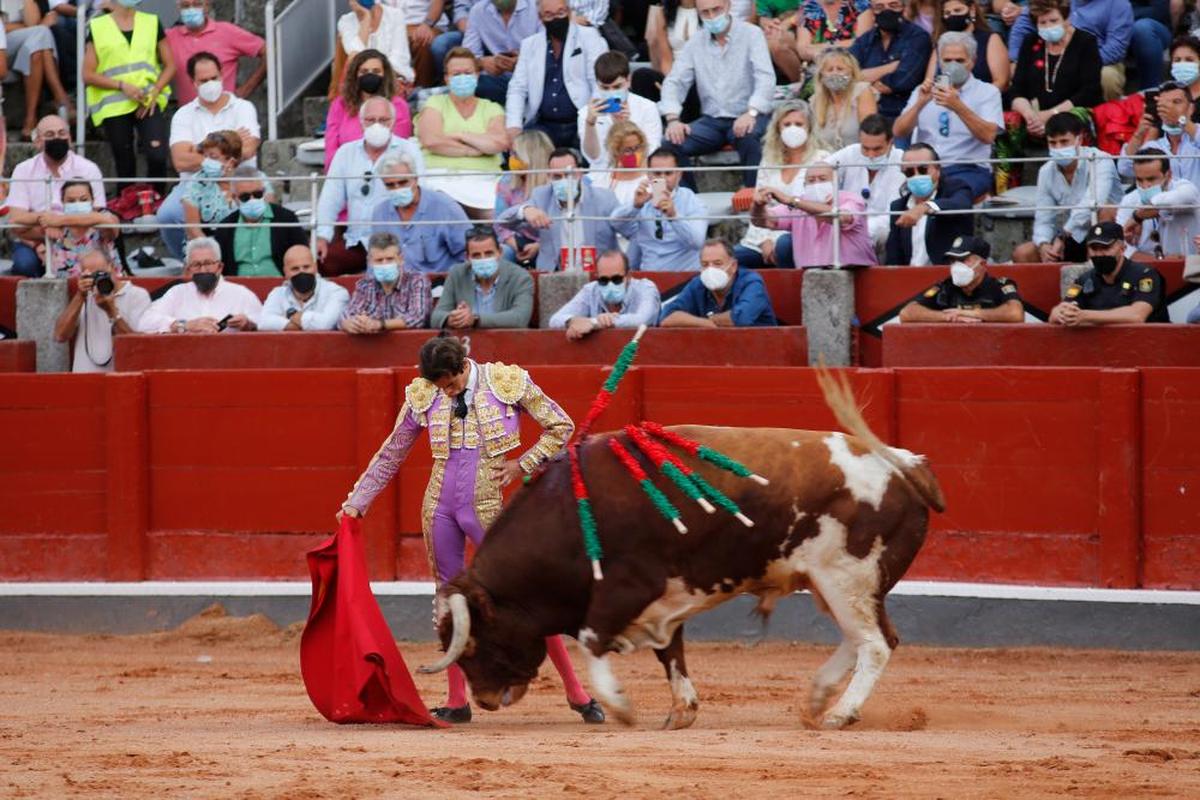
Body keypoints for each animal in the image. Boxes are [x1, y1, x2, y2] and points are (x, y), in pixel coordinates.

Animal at [422, 371, 945, 729]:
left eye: (472, 641)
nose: (486, 700)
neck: (567, 515)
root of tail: (904, 464)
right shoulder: (660, 599)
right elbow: (669, 650)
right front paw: (682, 712)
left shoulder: (627, 588)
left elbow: (593, 639)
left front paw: (619, 706)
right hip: (832, 582)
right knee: (862, 638)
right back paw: (818, 698)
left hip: (848, 577)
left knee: (875, 643)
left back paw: (840, 712)